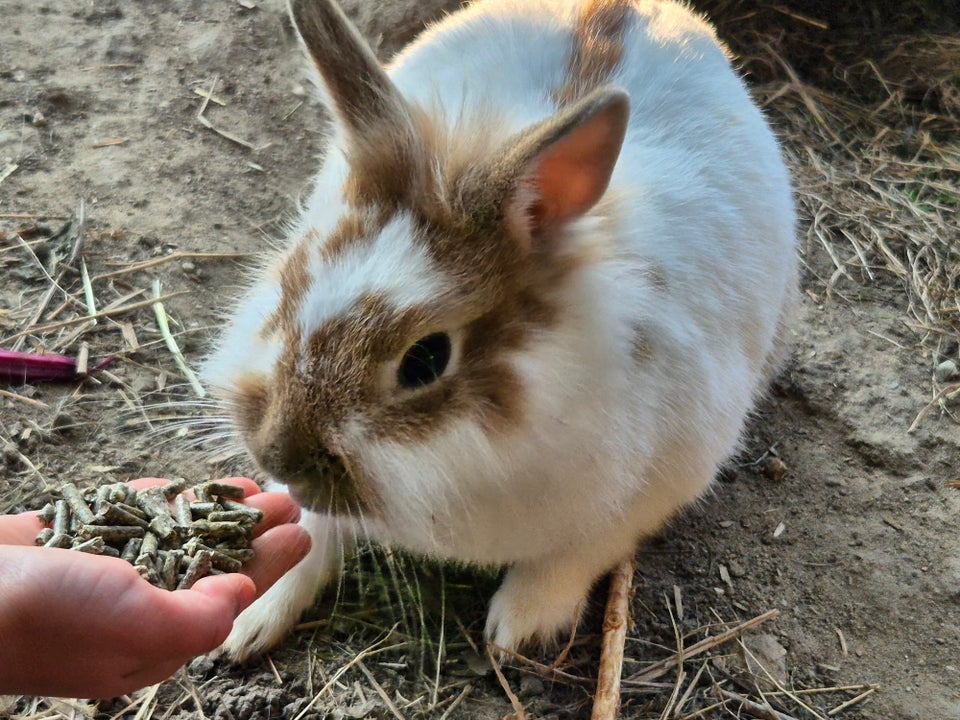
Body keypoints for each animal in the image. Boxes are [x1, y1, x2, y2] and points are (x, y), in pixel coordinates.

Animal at [204, 0, 804, 660]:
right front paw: (247, 620)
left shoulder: (656, 486)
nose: (279, 457)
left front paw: (519, 627)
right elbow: (310, 533)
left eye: (426, 359)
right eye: (292, 285)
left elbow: (578, 553)